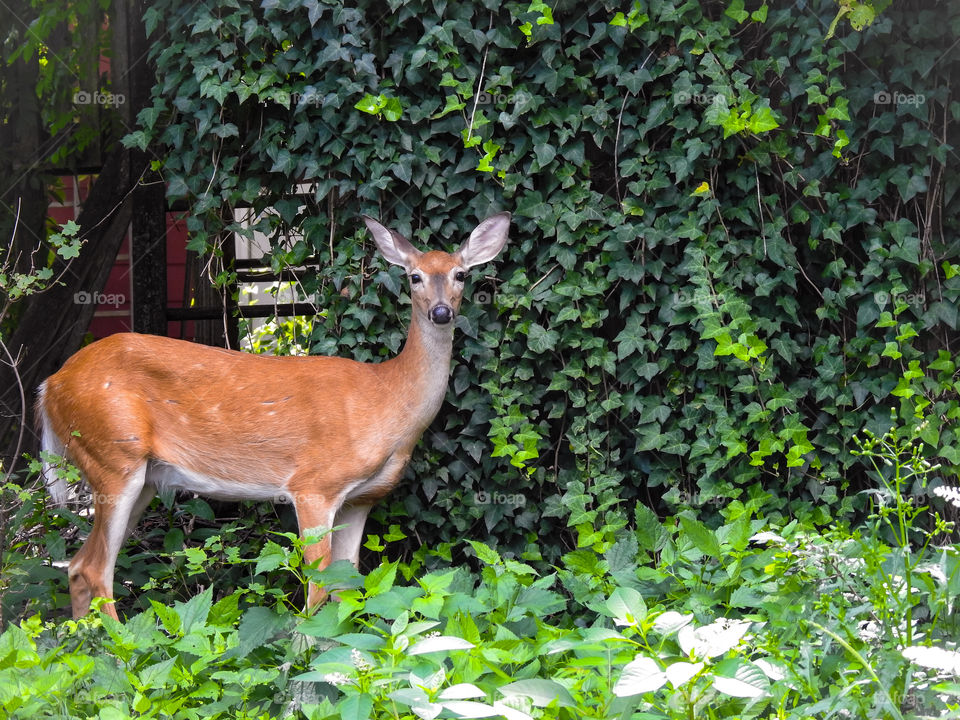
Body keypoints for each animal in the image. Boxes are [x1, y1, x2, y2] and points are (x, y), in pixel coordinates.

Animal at [37, 212, 510, 620]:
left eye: (461, 274)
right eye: (414, 276)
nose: (441, 312)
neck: (388, 402)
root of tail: (50, 386)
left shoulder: (362, 499)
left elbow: (347, 587)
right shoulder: (315, 485)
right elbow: (317, 591)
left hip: (142, 477)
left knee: (77, 566)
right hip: (113, 457)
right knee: (95, 568)